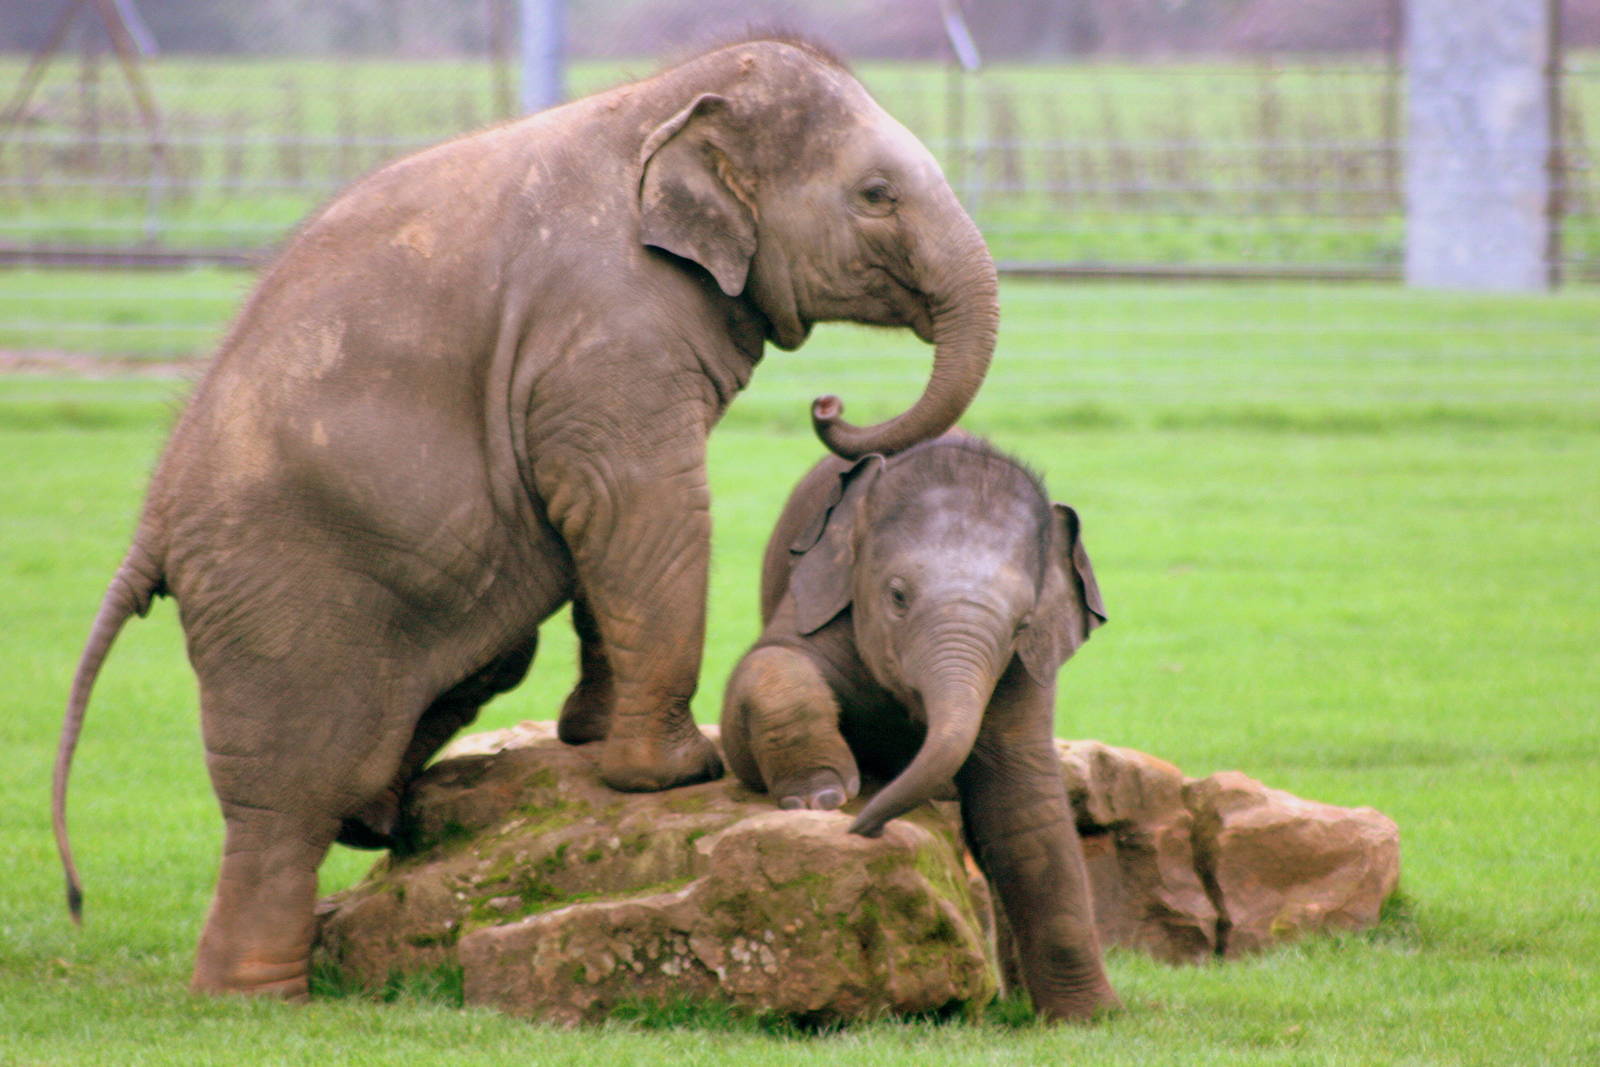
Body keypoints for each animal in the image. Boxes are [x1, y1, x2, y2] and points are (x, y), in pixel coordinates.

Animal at [51, 37, 1000, 999]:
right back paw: (260, 992)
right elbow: (641, 502)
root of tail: (149, 526)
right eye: (876, 195)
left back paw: (377, 824)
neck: (662, 98)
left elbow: (596, 525)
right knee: (284, 804)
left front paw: (589, 738)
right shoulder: (611, 329)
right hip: (279, 603)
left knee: (446, 695)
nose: (829, 410)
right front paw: (677, 772)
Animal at [720, 433, 1119, 1021]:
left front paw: (1089, 1019)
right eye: (898, 596)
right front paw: (820, 797)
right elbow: (765, 668)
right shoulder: (821, 597)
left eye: (1022, 624)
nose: (861, 828)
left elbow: (1023, 805)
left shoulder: (1024, 670)